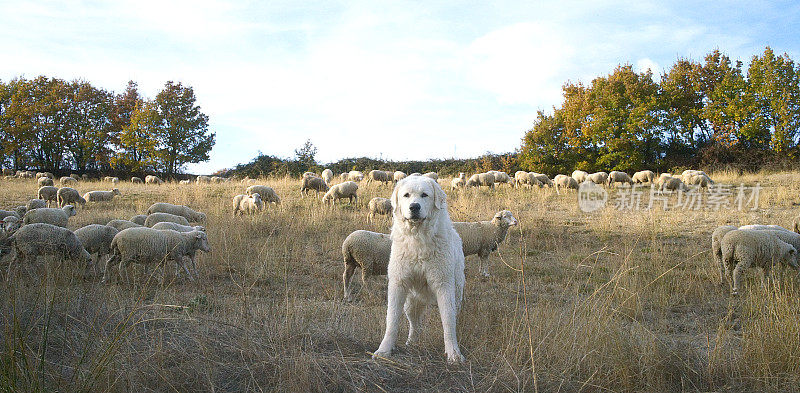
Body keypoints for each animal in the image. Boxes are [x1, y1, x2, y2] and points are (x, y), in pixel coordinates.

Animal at [372, 176, 466, 362]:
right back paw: (412, 342)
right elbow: (391, 320)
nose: (414, 207)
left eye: (424, 195)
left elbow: (448, 322)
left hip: (456, 294)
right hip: (411, 303)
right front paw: (384, 350)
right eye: (406, 195)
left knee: (453, 316)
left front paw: (453, 354)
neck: (418, 239)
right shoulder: (398, 284)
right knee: (415, 325)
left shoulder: (444, 286)